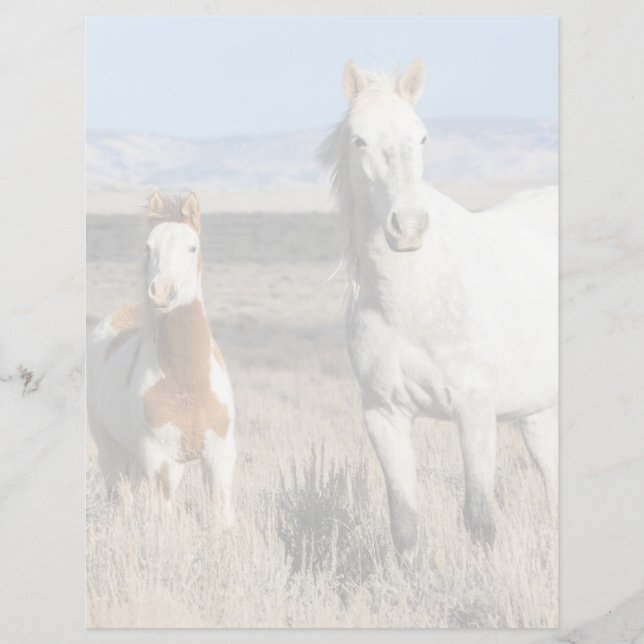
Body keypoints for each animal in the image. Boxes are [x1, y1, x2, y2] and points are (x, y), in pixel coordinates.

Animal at [87, 192, 236, 525]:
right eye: (148, 246)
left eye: (192, 247)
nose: (163, 292)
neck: (187, 382)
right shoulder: (161, 463)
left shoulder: (218, 459)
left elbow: (219, 516)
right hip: (112, 454)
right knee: (121, 500)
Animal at [319, 59, 557, 561]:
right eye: (359, 140)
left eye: (422, 137)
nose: (408, 227)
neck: (411, 299)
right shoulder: (384, 416)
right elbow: (405, 525)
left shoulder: (475, 410)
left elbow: (480, 519)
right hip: (539, 413)